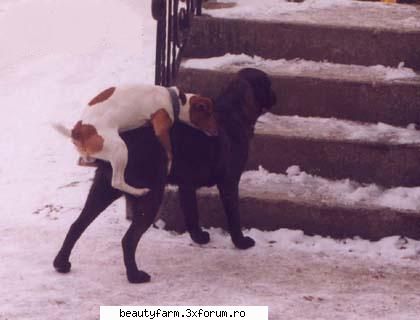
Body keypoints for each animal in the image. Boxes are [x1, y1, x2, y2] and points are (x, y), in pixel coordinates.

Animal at [53, 84, 217, 196]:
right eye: (208, 114)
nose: (218, 131)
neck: (175, 100)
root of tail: (77, 131)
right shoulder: (161, 130)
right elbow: (170, 152)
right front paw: (170, 167)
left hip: (97, 153)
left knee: (84, 161)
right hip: (120, 149)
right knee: (117, 182)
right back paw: (139, 191)